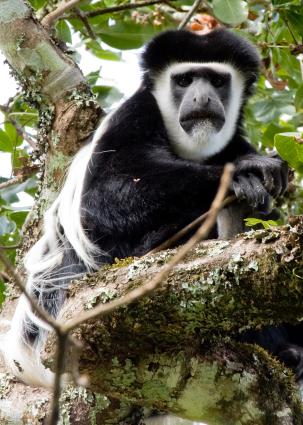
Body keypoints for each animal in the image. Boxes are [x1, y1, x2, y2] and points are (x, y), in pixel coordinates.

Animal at [1, 28, 302, 410]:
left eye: (218, 81)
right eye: (184, 80)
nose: (202, 98)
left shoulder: (234, 140)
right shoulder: (136, 115)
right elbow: (101, 199)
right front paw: (243, 170)